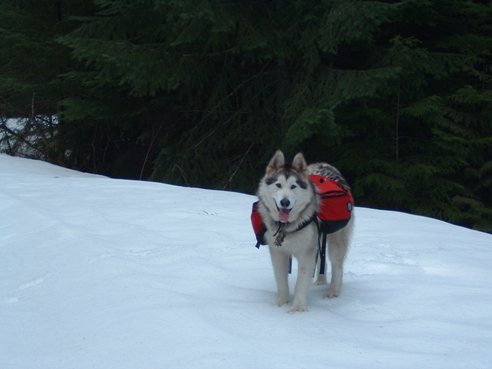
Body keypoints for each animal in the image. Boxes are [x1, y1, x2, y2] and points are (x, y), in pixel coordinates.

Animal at [254, 150, 354, 310]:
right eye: (278, 185)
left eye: (293, 186)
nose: (285, 202)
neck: (287, 226)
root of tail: (325, 166)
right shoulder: (278, 253)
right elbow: (281, 280)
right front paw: (281, 304)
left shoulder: (306, 253)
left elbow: (301, 282)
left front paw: (298, 309)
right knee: (322, 259)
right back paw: (320, 281)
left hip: (336, 241)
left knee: (337, 265)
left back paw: (333, 291)